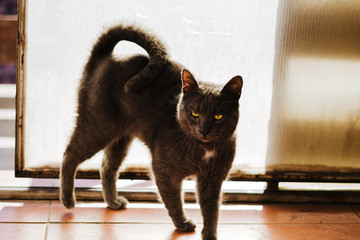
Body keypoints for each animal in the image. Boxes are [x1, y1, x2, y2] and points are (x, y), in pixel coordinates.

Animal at [60, 23, 243, 240]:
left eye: (218, 116)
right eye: (195, 114)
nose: (204, 130)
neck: (203, 149)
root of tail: (105, 55)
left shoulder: (213, 178)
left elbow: (211, 209)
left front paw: (210, 235)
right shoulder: (164, 170)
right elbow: (173, 200)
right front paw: (182, 223)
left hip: (121, 139)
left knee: (107, 168)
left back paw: (113, 202)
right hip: (98, 126)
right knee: (70, 154)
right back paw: (68, 199)